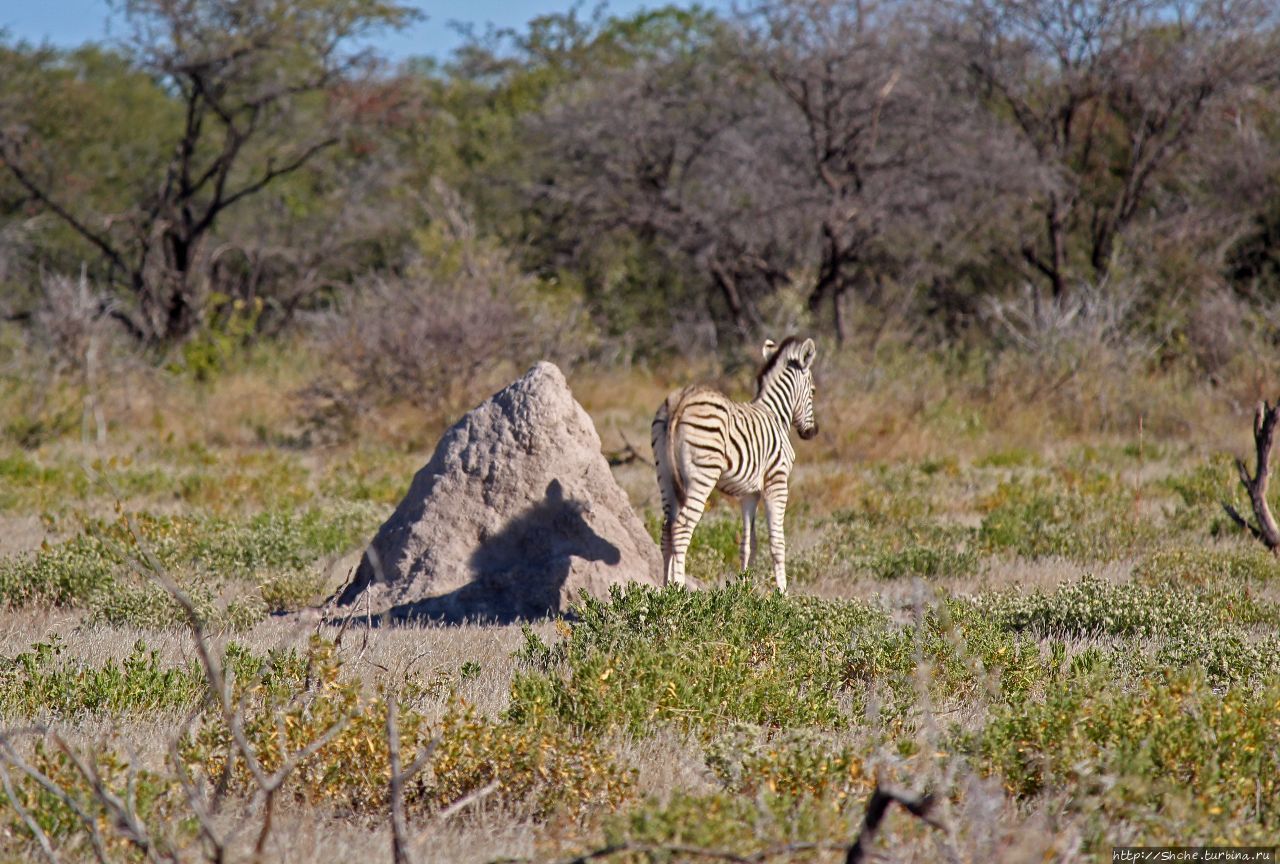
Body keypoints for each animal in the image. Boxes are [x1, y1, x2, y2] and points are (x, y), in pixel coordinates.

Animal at [650, 337, 819, 593]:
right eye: (813, 391)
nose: (811, 432)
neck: (776, 415)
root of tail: (681, 399)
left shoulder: (749, 493)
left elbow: (748, 544)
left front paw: (744, 589)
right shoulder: (777, 482)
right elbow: (777, 543)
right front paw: (783, 594)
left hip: (665, 476)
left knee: (666, 531)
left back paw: (664, 591)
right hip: (702, 476)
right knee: (680, 529)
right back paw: (678, 590)